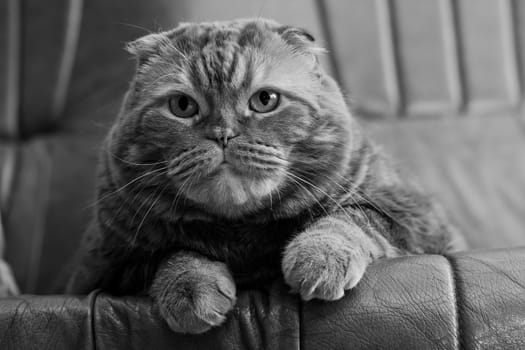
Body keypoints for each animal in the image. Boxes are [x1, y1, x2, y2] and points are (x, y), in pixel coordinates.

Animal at [64, 18, 462, 334]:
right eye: (182, 106)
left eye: (265, 100)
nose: (223, 134)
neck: (243, 237)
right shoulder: (102, 267)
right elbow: (172, 252)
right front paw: (191, 288)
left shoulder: (414, 215)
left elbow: (352, 217)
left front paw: (320, 256)